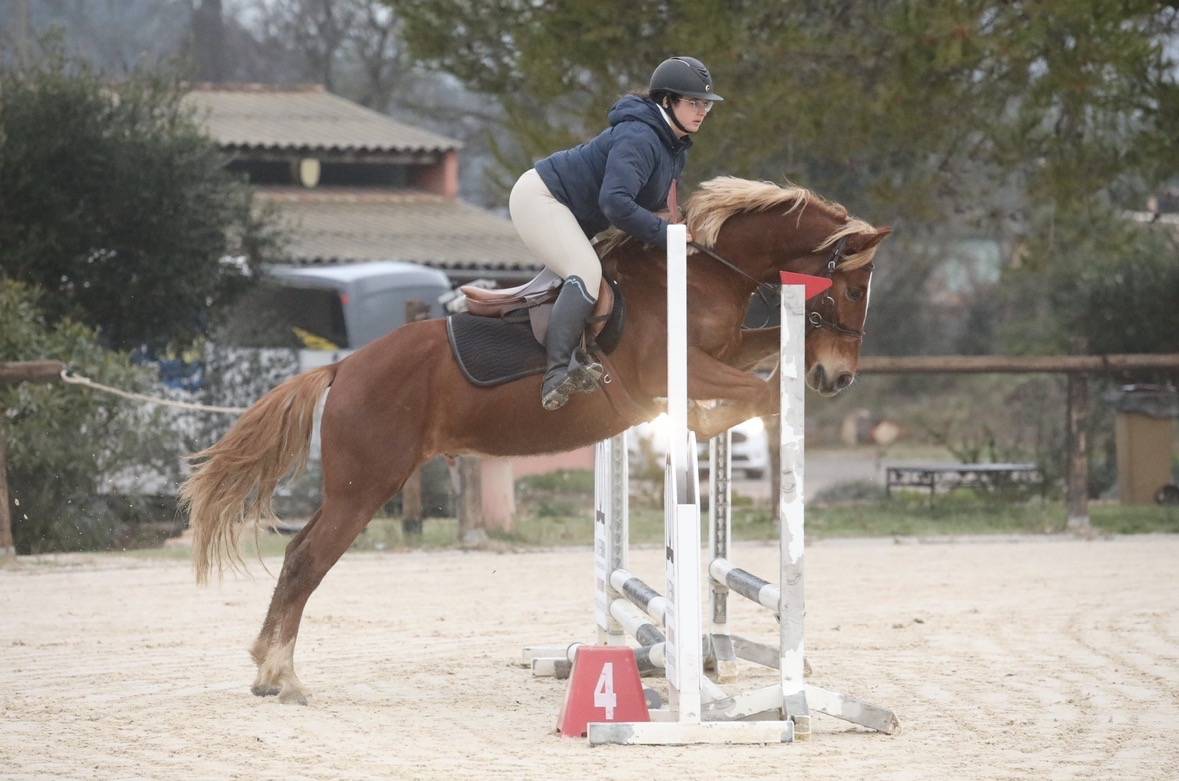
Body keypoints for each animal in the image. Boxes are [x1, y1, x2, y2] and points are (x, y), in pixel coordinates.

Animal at [180, 176, 891, 705]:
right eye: (854, 287)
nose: (838, 377)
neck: (700, 274)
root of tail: (343, 367)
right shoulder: (680, 367)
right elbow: (760, 392)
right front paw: (742, 408)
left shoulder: (724, 350)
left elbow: (761, 359)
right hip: (365, 487)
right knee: (306, 561)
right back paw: (281, 676)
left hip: (353, 487)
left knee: (297, 552)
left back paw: (268, 668)